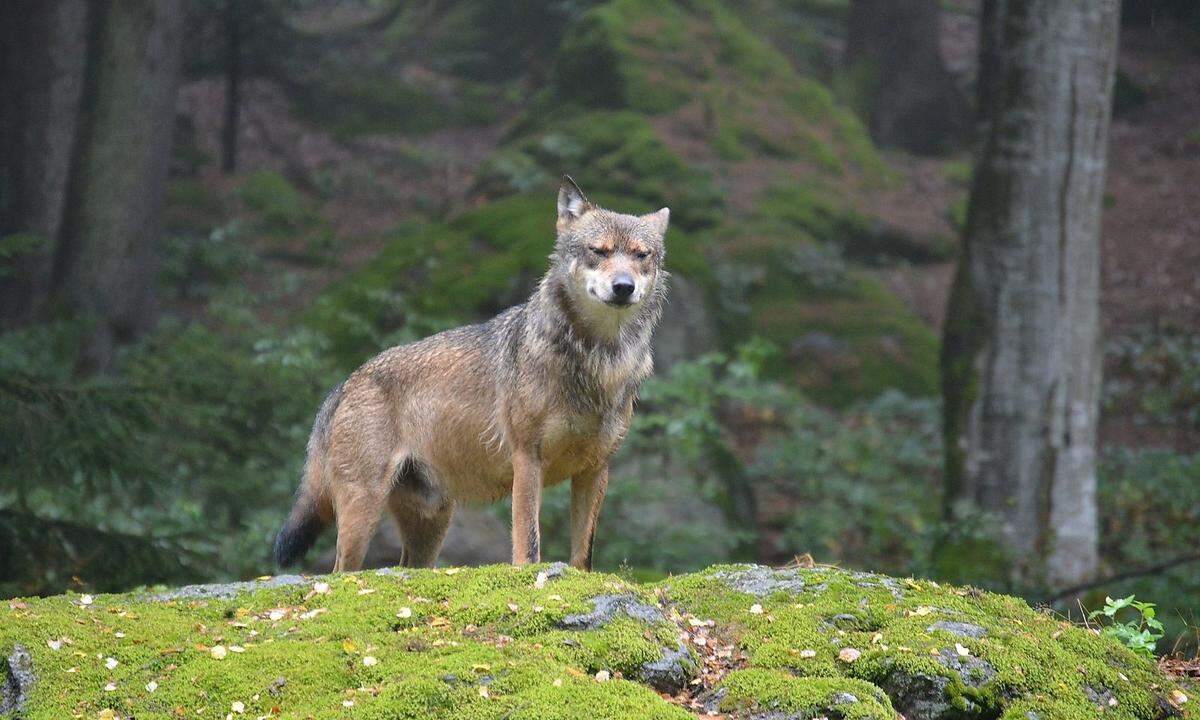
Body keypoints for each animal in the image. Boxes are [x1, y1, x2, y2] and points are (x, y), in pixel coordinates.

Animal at [274, 177, 672, 571]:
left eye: (641, 255)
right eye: (598, 251)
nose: (623, 287)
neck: (596, 358)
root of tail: (345, 383)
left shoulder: (595, 469)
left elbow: (583, 556)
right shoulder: (527, 460)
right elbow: (528, 543)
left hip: (431, 527)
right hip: (363, 512)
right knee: (341, 571)